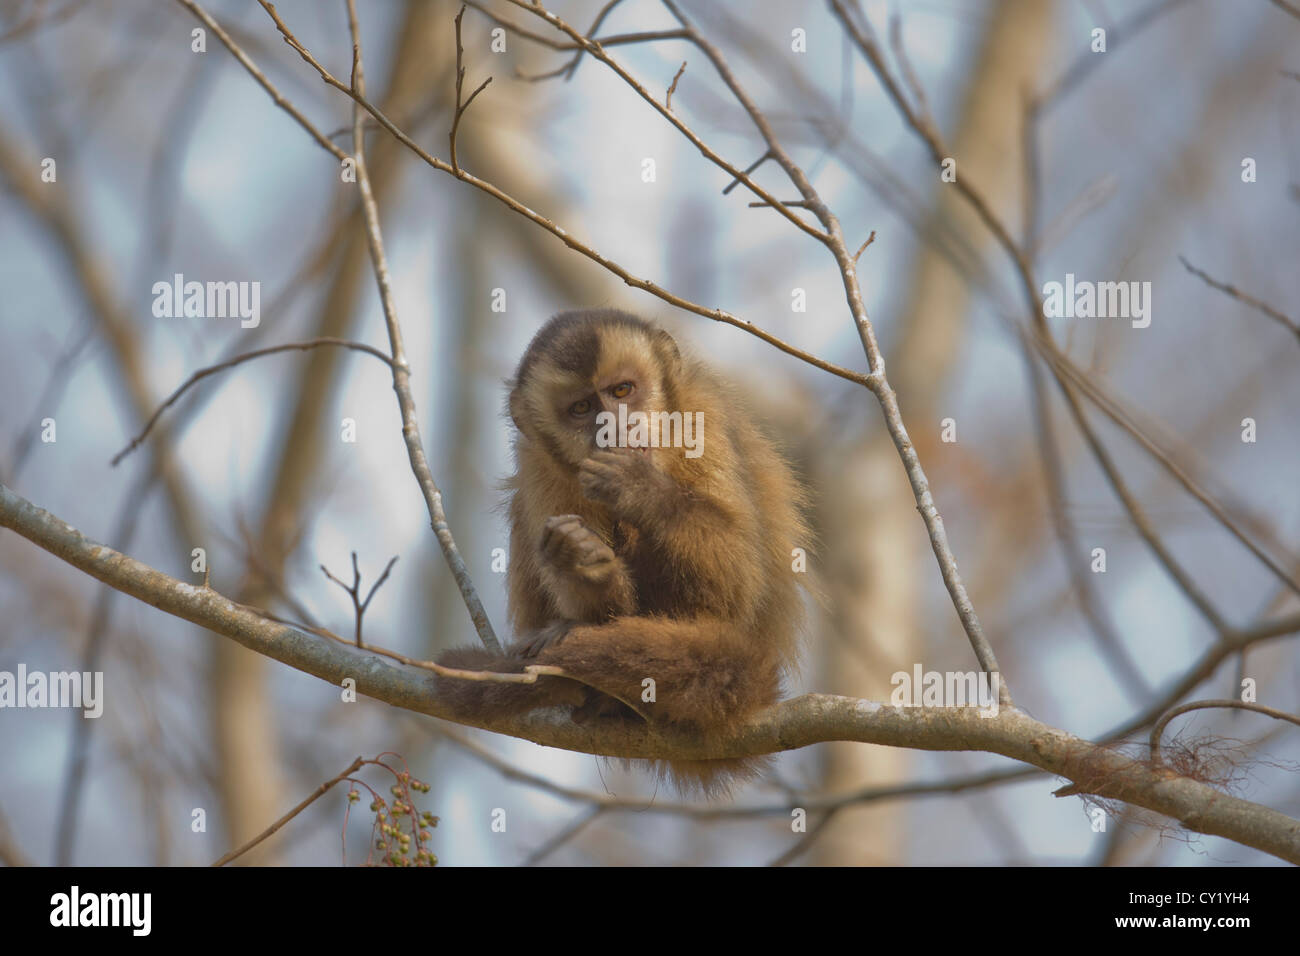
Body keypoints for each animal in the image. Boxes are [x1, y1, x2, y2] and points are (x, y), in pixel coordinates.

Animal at [431, 310, 806, 796]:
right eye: (582, 409)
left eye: (622, 391)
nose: (614, 426)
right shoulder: (539, 465)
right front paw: (585, 569)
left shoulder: (703, 421)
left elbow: (736, 587)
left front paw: (640, 490)